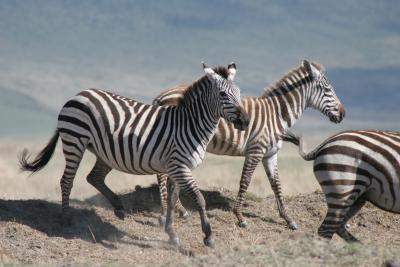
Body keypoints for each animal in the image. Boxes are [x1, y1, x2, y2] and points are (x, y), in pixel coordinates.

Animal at [20, 61, 250, 248]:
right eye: (223, 95)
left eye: (239, 93)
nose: (246, 121)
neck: (190, 125)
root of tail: (78, 94)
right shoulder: (179, 166)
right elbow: (199, 199)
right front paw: (208, 236)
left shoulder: (177, 168)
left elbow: (173, 200)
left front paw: (171, 235)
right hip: (74, 141)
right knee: (67, 180)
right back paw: (66, 218)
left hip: (104, 151)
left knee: (93, 177)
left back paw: (119, 207)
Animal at [153, 60, 344, 230]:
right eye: (328, 89)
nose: (343, 114)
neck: (277, 114)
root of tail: (160, 95)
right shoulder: (255, 150)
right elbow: (245, 180)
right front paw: (240, 217)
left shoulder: (270, 154)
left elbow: (276, 184)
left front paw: (288, 219)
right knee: (162, 175)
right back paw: (167, 210)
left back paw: (179, 209)